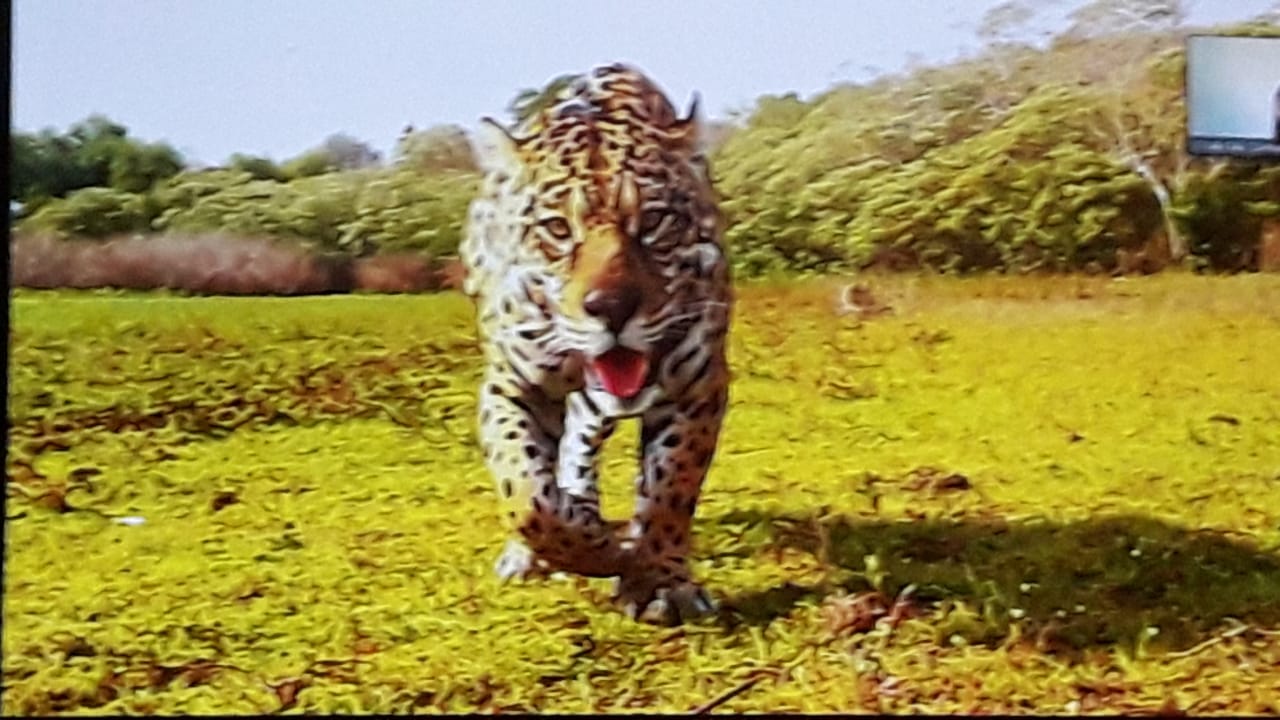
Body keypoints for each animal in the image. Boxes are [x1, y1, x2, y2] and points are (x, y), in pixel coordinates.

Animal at [459, 63, 732, 625]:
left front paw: (660, 579)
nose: (610, 307)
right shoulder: (509, 385)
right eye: (558, 229)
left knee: (578, 447)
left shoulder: (699, 384)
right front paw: (596, 549)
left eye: (653, 222)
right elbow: (526, 492)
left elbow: (671, 487)